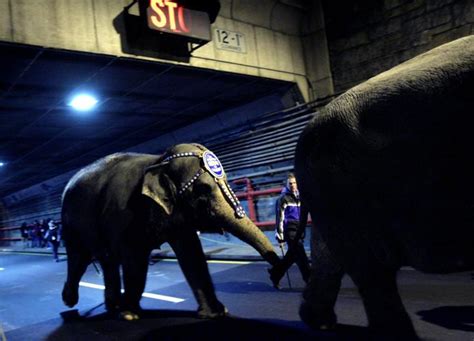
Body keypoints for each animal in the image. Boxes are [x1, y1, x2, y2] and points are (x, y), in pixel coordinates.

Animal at [60, 143, 280, 318]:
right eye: (203, 189)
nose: (274, 278)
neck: (158, 161)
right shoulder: (123, 215)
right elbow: (134, 260)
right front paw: (130, 315)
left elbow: (192, 255)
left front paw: (216, 313)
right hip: (72, 226)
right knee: (79, 259)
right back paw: (70, 301)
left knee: (107, 262)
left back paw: (112, 306)